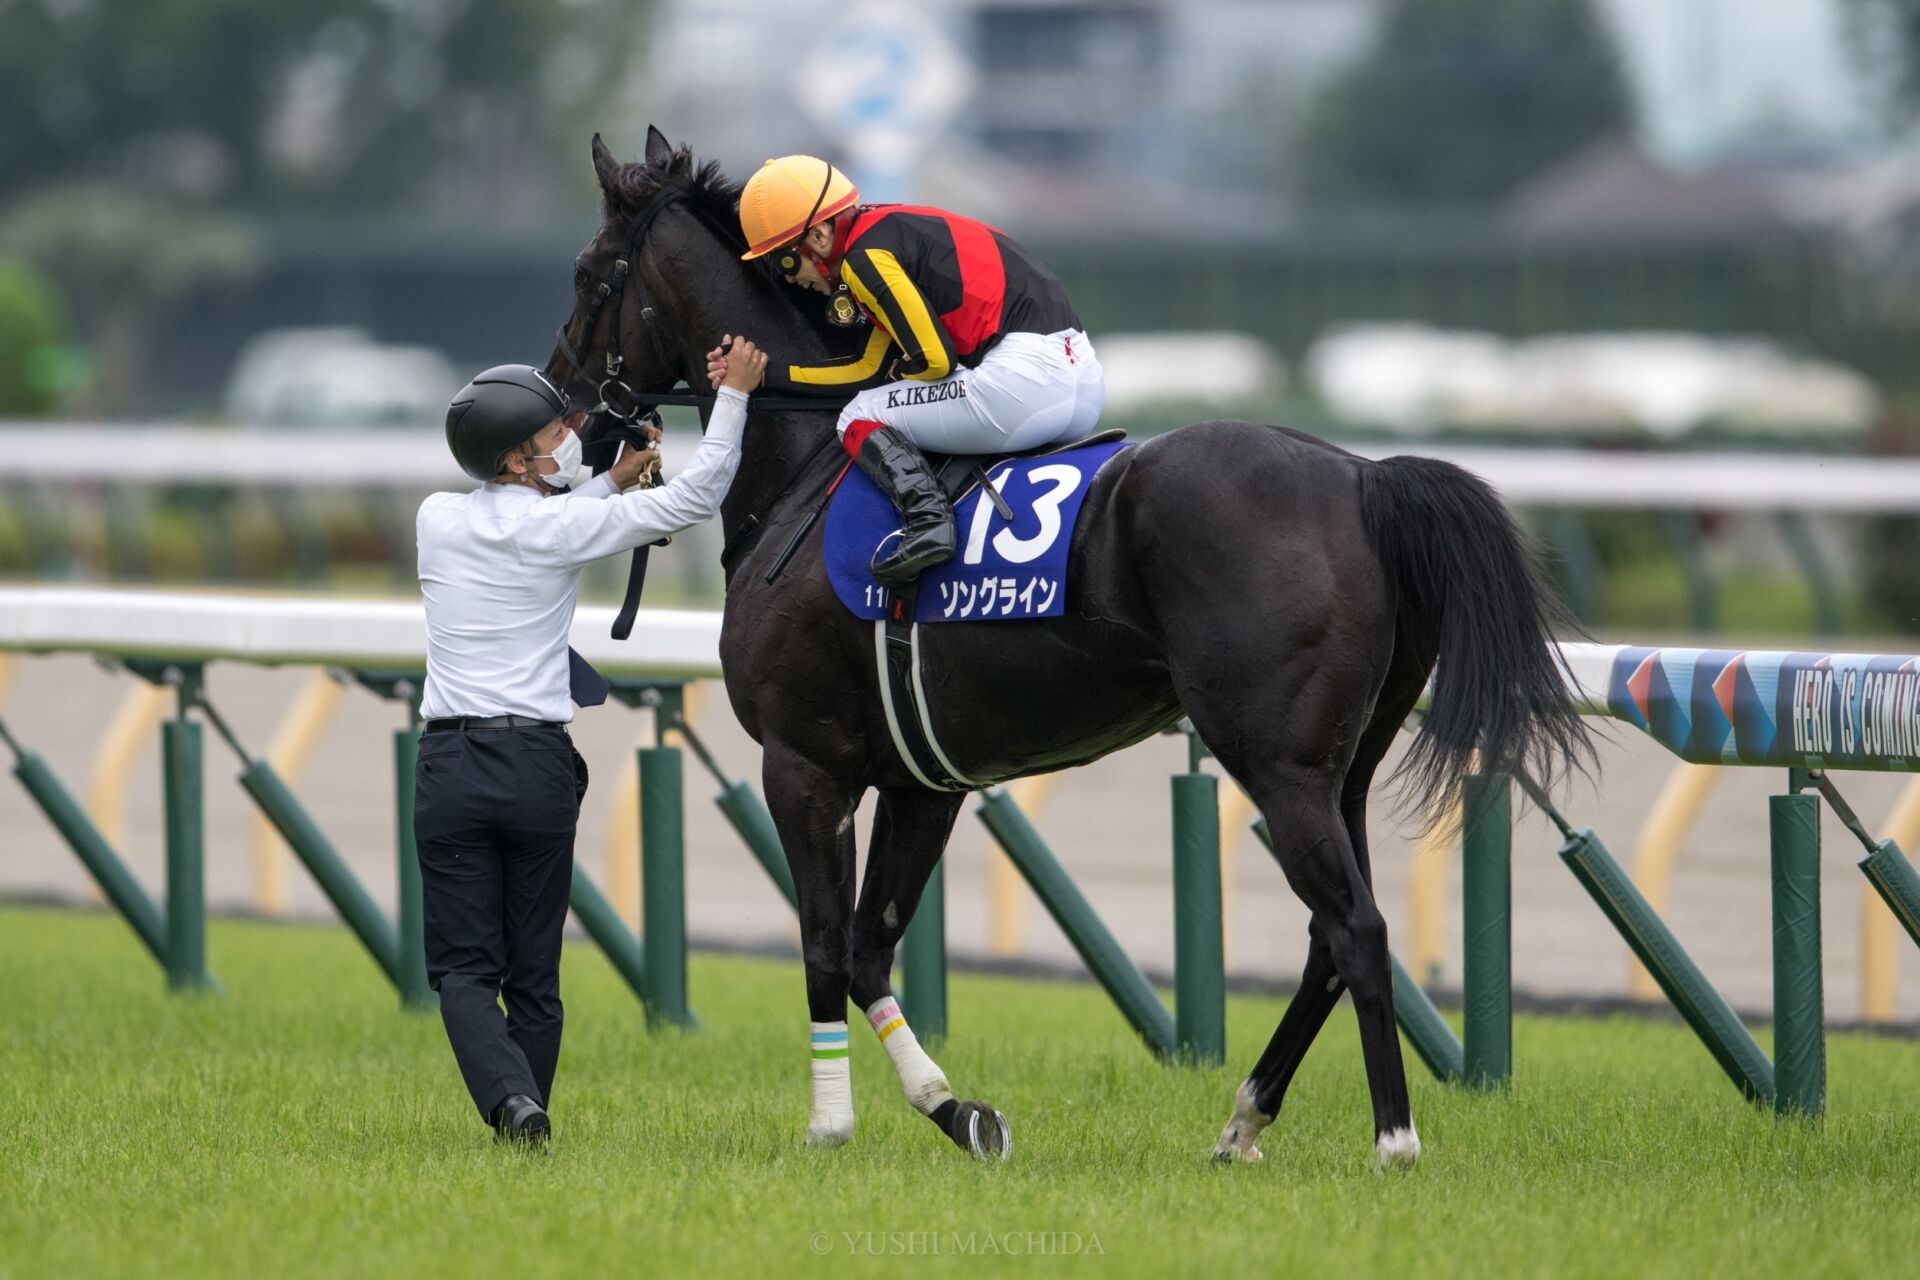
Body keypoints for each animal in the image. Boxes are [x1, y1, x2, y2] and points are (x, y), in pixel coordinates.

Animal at [545, 130, 1589, 1174]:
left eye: (589, 275)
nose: (563, 413)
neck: (803, 475)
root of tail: (1365, 478)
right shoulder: (924, 782)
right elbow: (873, 945)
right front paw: (955, 1109)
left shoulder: (805, 762)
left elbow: (824, 947)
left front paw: (830, 1124)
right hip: (1347, 770)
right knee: (1327, 940)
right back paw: (1243, 1119)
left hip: (1279, 764)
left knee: (1356, 929)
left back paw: (1393, 1139)